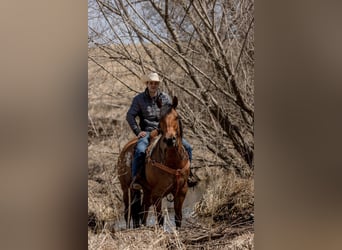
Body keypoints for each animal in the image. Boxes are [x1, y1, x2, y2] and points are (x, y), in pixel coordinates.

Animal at [118, 95, 191, 229]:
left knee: (143, 210)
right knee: (128, 212)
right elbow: (160, 219)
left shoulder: (182, 191)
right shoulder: (158, 193)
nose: (170, 140)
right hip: (127, 189)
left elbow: (178, 217)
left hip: (147, 191)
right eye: (160, 118)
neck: (173, 162)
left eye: (176, 117)